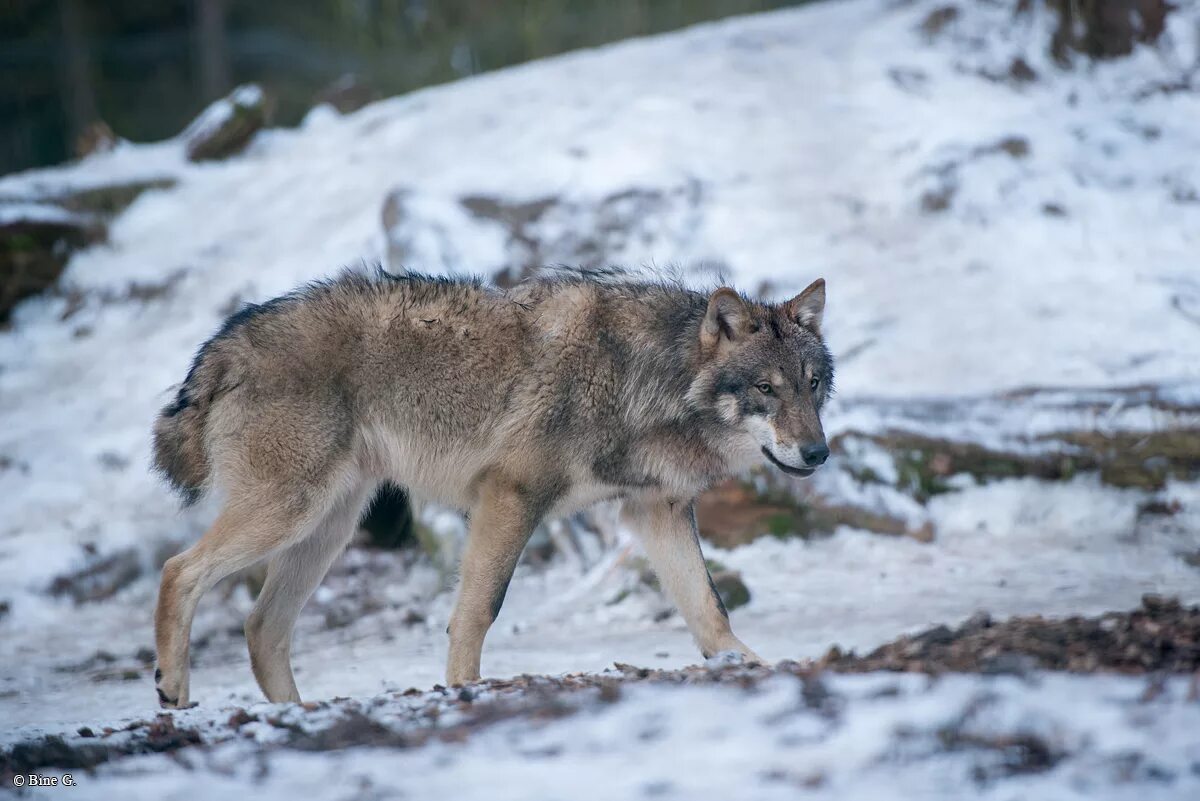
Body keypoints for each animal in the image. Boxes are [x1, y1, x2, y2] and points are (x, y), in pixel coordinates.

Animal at [150, 266, 835, 705]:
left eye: (812, 385)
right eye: (766, 389)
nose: (819, 452)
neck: (646, 380)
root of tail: (227, 342)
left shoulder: (656, 512)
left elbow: (709, 611)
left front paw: (755, 668)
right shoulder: (510, 496)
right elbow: (478, 610)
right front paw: (462, 690)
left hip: (328, 528)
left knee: (262, 628)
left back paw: (297, 716)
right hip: (292, 512)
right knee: (179, 570)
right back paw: (174, 693)